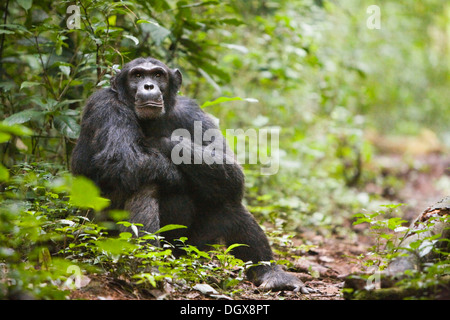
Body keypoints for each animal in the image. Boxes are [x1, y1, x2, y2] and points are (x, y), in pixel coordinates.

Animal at [72, 57, 312, 292]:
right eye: (137, 75)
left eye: (158, 75)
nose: (148, 86)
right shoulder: (105, 106)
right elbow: (122, 158)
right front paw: (172, 174)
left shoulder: (192, 112)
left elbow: (230, 167)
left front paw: (159, 142)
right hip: (97, 236)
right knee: (143, 183)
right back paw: (150, 270)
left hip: (193, 250)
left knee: (229, 201)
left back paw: (272, 274)